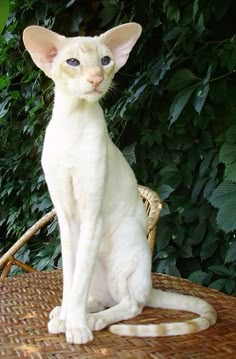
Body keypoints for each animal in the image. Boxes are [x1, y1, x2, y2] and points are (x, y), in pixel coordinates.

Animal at [23, 23, 217, 344]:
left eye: (105, 61)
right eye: (73, 62)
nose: (96, 78)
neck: (73, 121)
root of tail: (149, 284)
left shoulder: (91, 215)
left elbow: (79, 280)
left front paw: (76, 326)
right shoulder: (65, 216)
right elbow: (71, 278)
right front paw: (66, 317)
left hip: (122, 255)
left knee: (131, 304)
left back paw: (94, 320)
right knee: (101, 296)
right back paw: (72, 312)